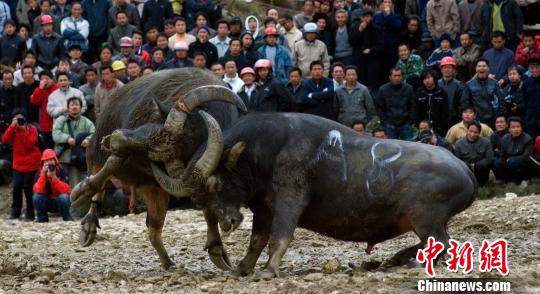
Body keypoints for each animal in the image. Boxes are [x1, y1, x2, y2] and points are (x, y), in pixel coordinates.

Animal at [71, 68, 247, 270]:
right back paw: (88, 225)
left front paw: (217, 249)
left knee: (153, 229)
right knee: (100, 175)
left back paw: (167, 261)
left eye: (159, 153)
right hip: (94, 153)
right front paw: (82, 191)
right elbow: (111, 164)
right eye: (153, 127)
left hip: (155, 192)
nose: (116, 138)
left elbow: (208, 206)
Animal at [151, 112, 476, 278]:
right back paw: (396, 259)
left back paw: (409, 262)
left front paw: (269, 270)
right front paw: (243, 268)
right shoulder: (263, 209)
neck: (264, 152)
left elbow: (279, 237)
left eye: (216, 185)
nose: (228, 222)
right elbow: (257, 240)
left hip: (424, 217)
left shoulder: (289, 201)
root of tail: (464, 168)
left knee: (443, 244)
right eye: (199, 200)